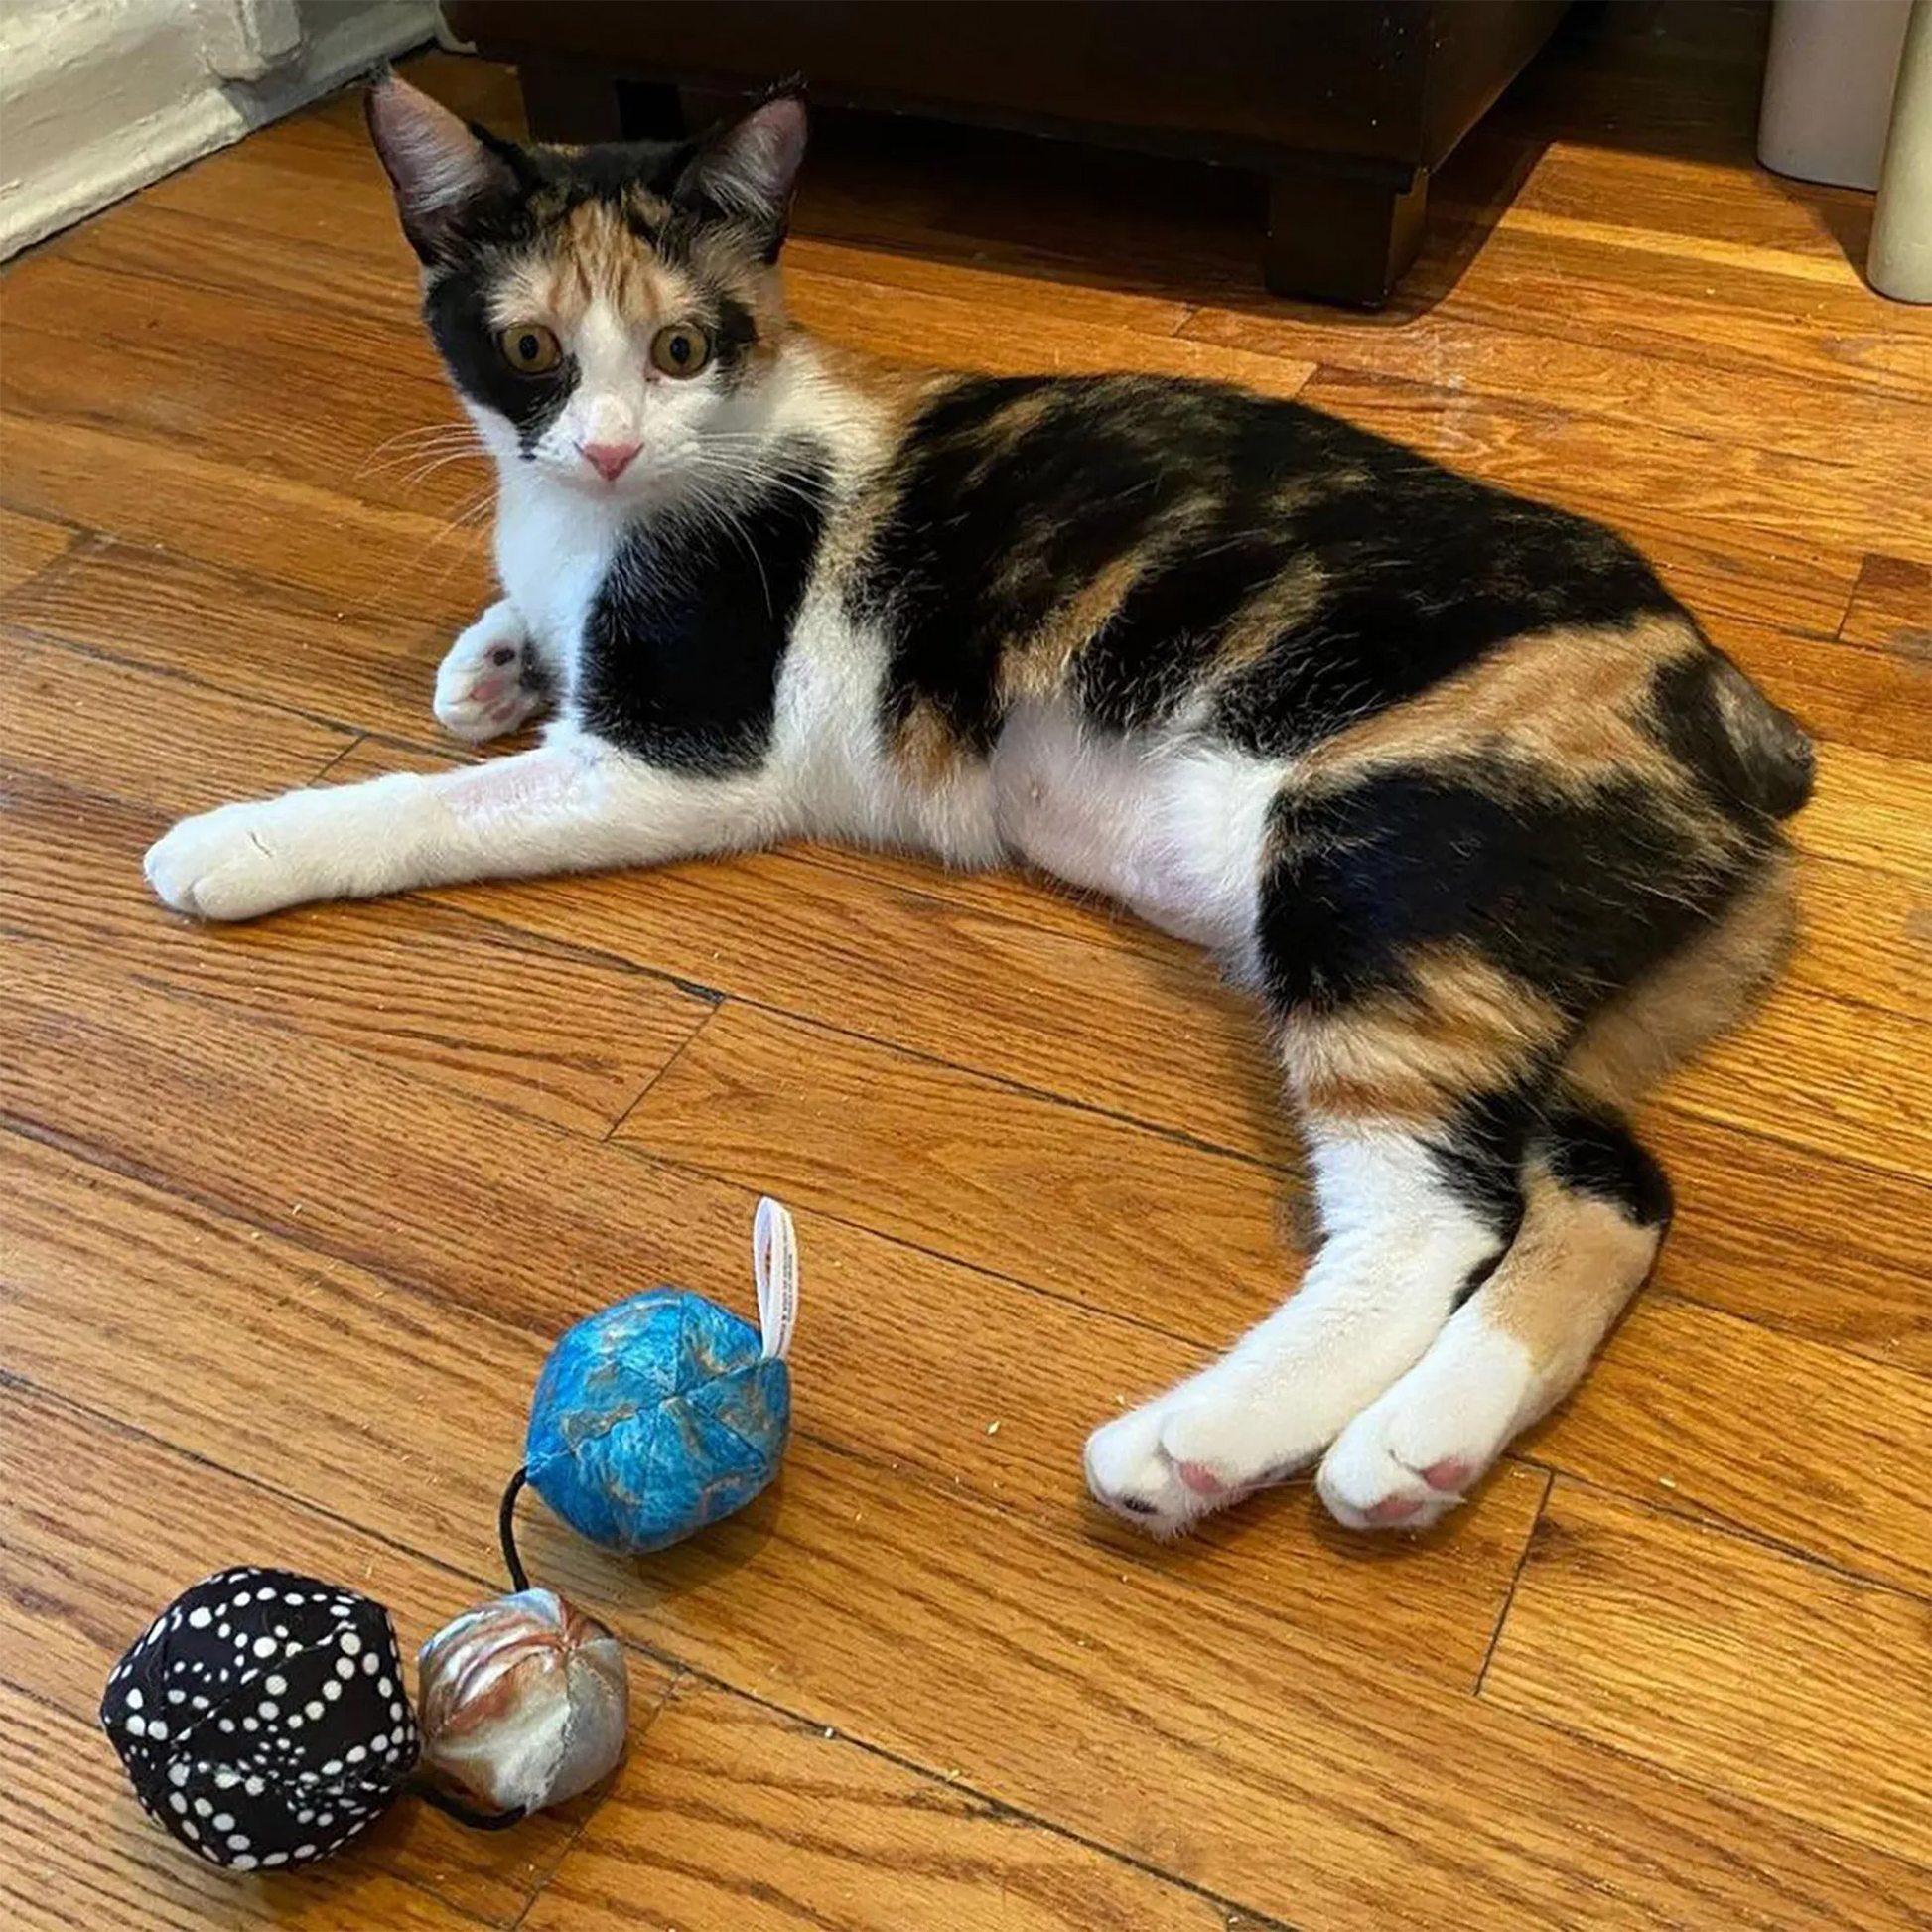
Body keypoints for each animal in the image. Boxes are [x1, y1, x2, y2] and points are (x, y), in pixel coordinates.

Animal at [146, 78, 1808, 1538]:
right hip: (1510, 959)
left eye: (682, 345)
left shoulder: (686, 751)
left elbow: (442, 799)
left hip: (1376, 859)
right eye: (531, 348)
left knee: (1432, 1219)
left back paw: (1198, 1445)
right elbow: (489, 664)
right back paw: (1421, 1448)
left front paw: (242, 837)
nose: (611, 442)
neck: (610, 509)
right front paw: (486, 661)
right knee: (1607, 1184)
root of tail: (1738, 710)